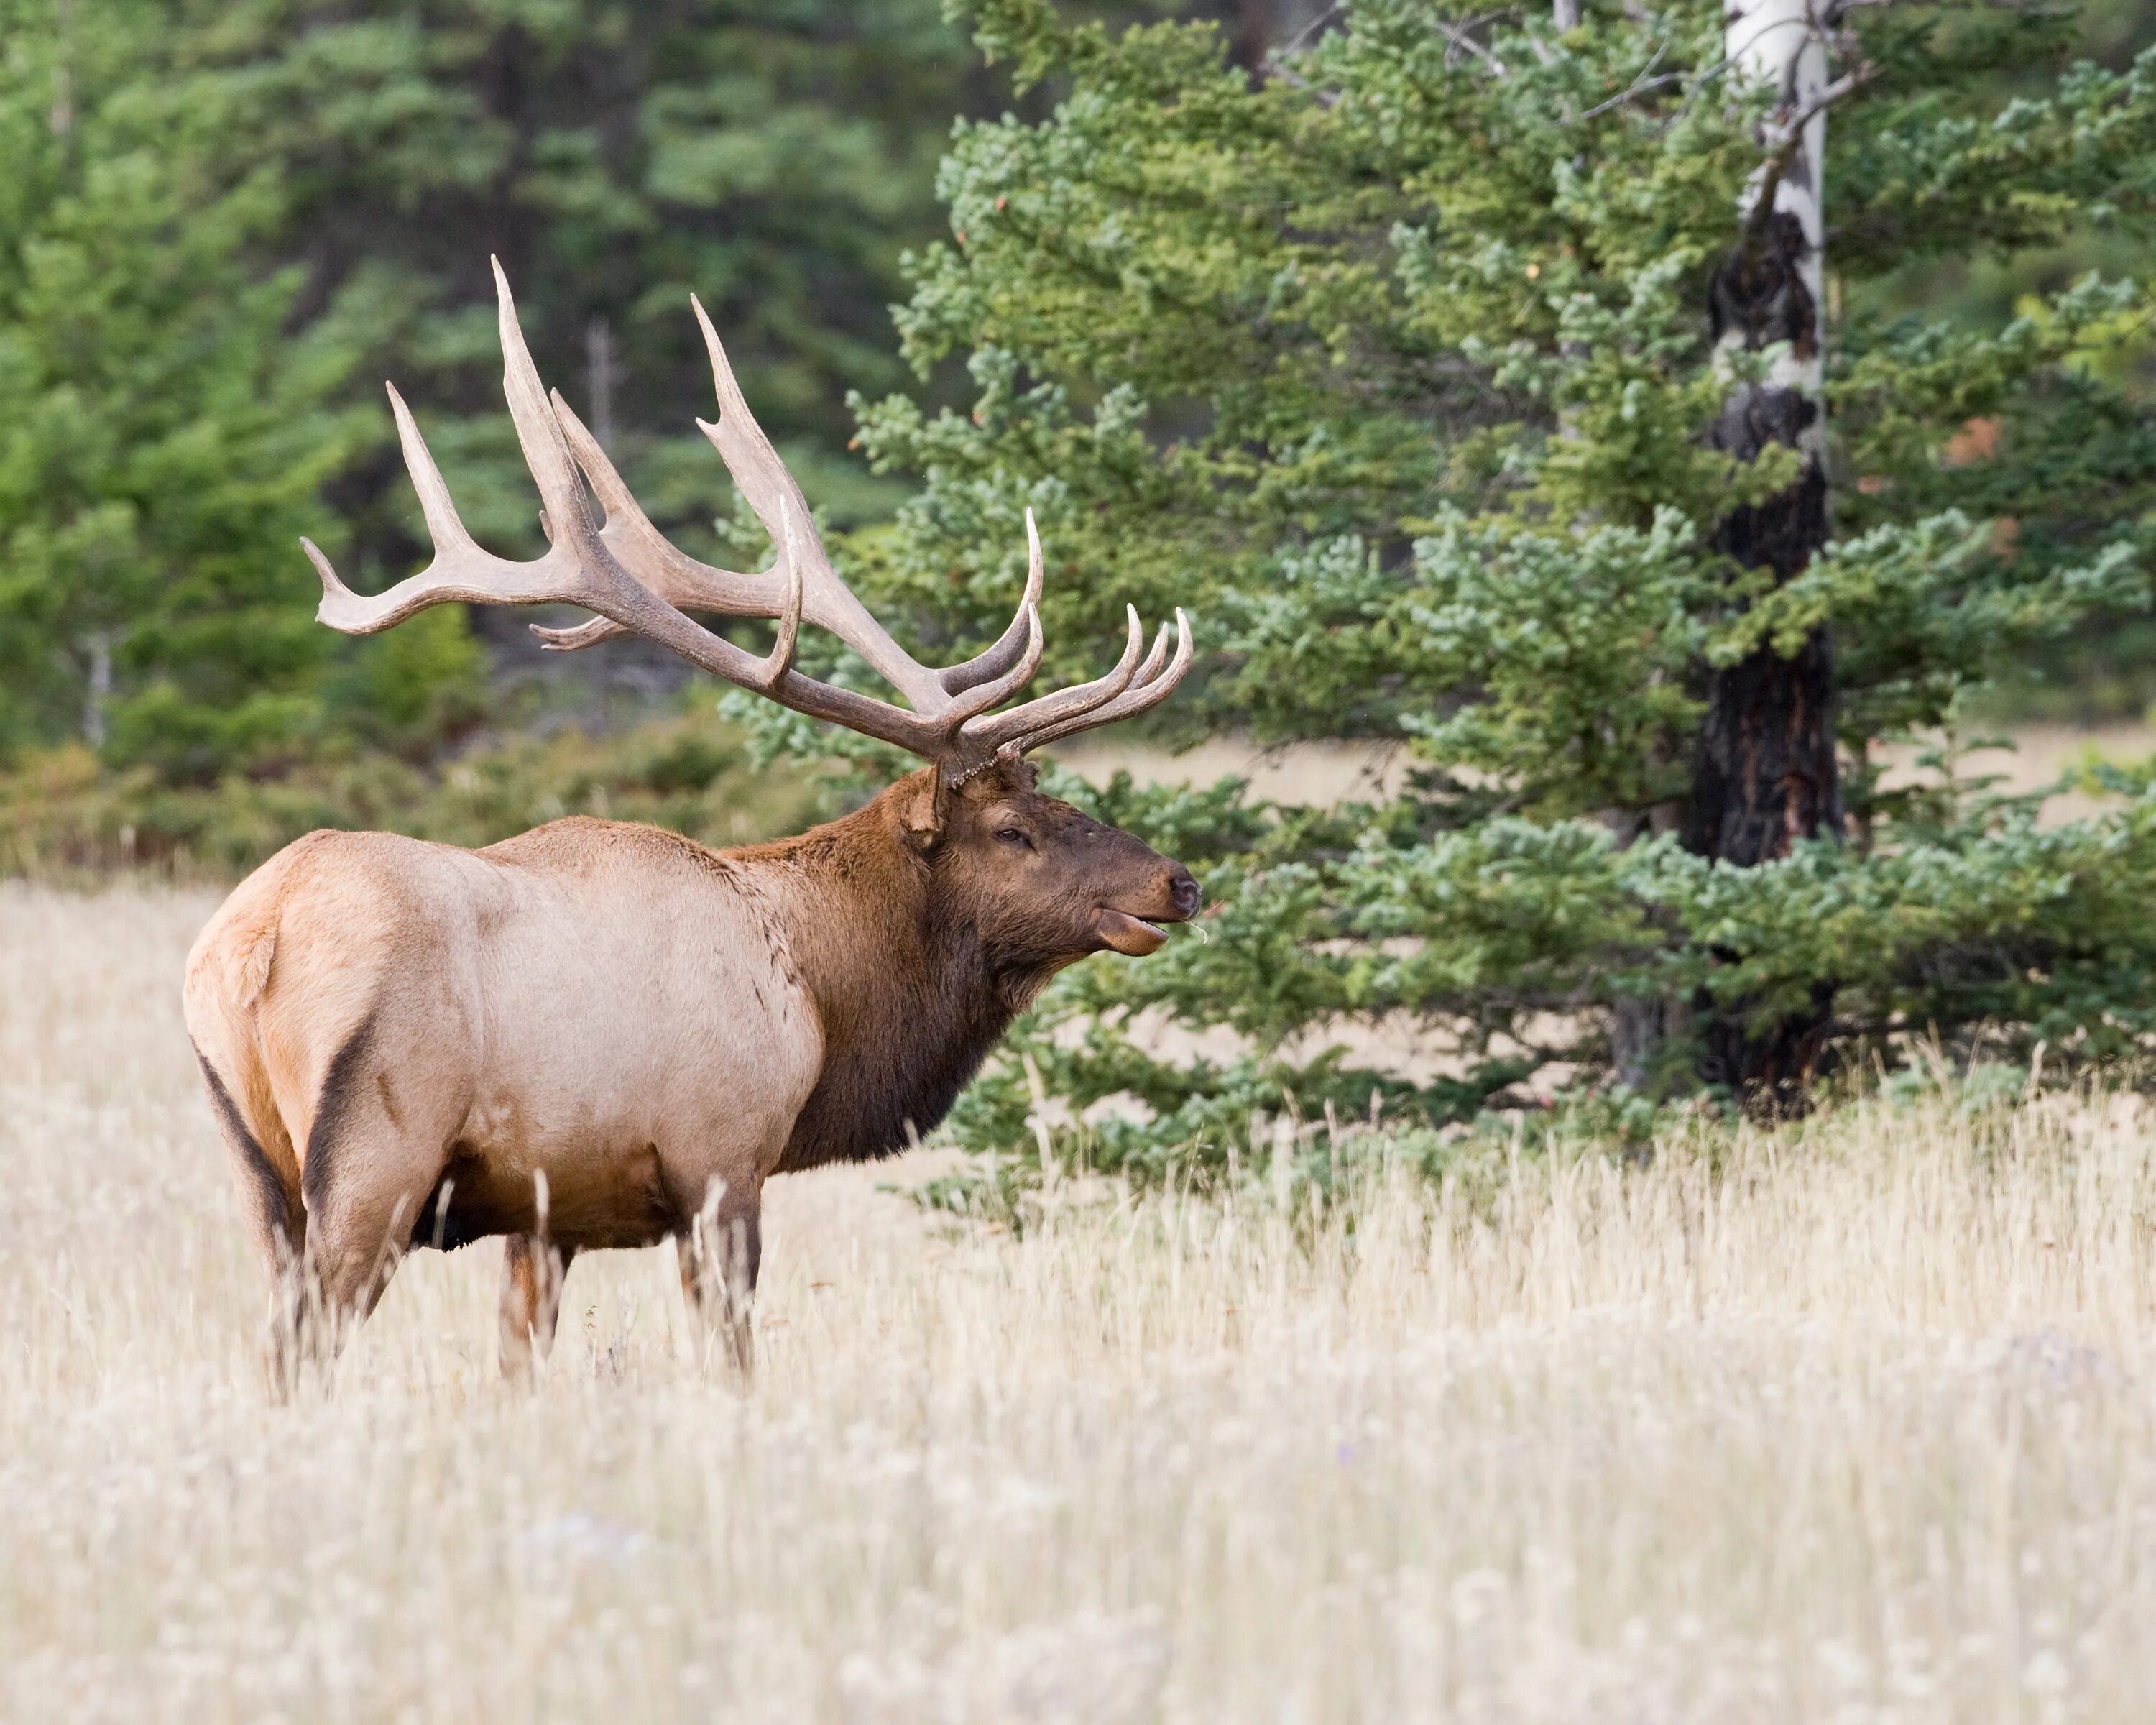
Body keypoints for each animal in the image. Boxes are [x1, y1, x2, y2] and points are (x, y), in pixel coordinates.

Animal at [183, 259, 1199, 1389]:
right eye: (1013, 828)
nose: (1178, 881)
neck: (824, 994)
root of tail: (255, 943)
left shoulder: (548, 1211)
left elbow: (520, 1362)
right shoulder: (723, 1157)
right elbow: (734, 1351)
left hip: (252, 1166)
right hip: (376, 1153)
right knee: (301, 1346)